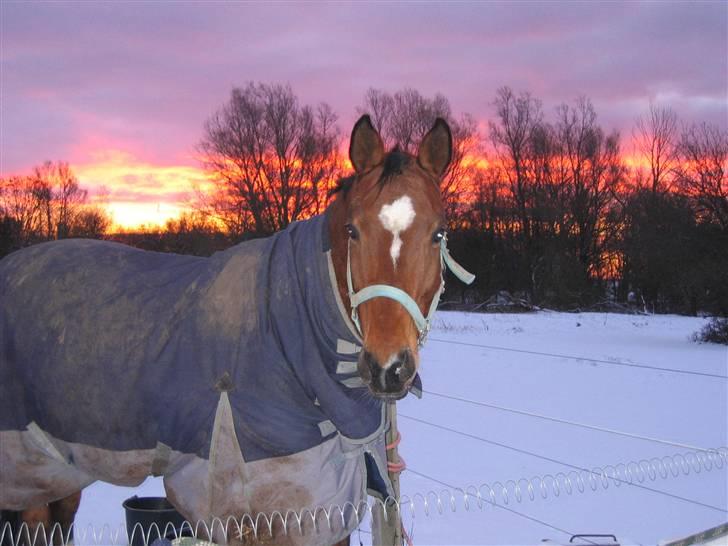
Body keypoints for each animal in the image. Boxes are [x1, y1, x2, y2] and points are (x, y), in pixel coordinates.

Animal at [1, 112, 460, 540]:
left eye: (439, 234)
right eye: (353, 231)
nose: (388, 367)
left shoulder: (326, 509)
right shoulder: (245, 511)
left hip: (61, 473)